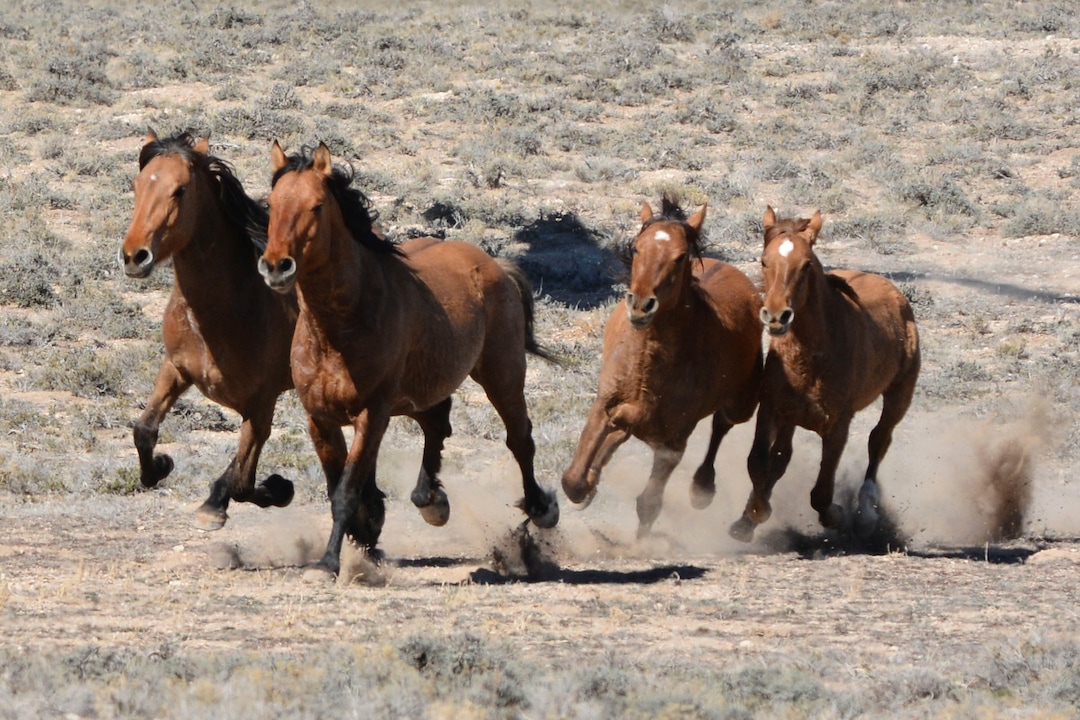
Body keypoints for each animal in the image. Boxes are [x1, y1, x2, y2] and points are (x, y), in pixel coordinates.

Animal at [119, 129, 299, 531]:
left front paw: (273, 489)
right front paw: (160, 467)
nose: (134, 256)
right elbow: (144, 430)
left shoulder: (262, 402)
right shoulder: (175, 369)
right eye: (137, 185)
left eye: (180, 190)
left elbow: (243, 480)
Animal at [257, 141, 559, 576]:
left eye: (317, 206)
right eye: (272, 203)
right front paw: (365, 539)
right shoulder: (320, 419)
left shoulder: (372, 415)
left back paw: (540, 509)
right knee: (438, 425)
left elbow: (346, 492)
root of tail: (494, 265)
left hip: (502, 375)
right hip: (420, 393)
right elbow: (340, 486)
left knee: (520, 438)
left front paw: (330, 562)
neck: (338, 331)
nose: (276, 267)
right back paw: (431, 500)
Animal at [561, 197, 764, 537]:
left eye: (680, 257)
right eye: (637, 248)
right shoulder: (603, 405)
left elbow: (649, 504)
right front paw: (586, 486)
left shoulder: (673, 443)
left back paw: (702, 488)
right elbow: (573, 480)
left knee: (723, 423)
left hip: (742, 404)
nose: (641, 305)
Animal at [729, 206, 920, 542]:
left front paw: (841, 517)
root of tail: (893, 290)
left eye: (806, 264)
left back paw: (866, 511)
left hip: (900, 394)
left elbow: (821, 493)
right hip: (792, 417)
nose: (776, 315)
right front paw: (750, 517)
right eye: (764, 260)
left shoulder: (838, 426)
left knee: (879, 440)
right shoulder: (773, 409)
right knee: (781, 458)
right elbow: (761, 462)